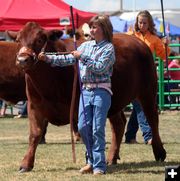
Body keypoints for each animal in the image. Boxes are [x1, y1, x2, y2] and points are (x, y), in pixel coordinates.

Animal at [14, 21, 166, 172]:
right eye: (18, 40)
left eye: (40, 39)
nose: (22, 60)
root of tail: (139, 42)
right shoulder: (34, 105)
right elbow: (35, 134)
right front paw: (26, 164)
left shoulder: (78, 106)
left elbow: (87, 132)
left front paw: (90, 162)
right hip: (115, 101)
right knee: (118, 124)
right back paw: (111, 157)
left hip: (148, 91)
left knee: (152, 119)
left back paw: (159, 152)